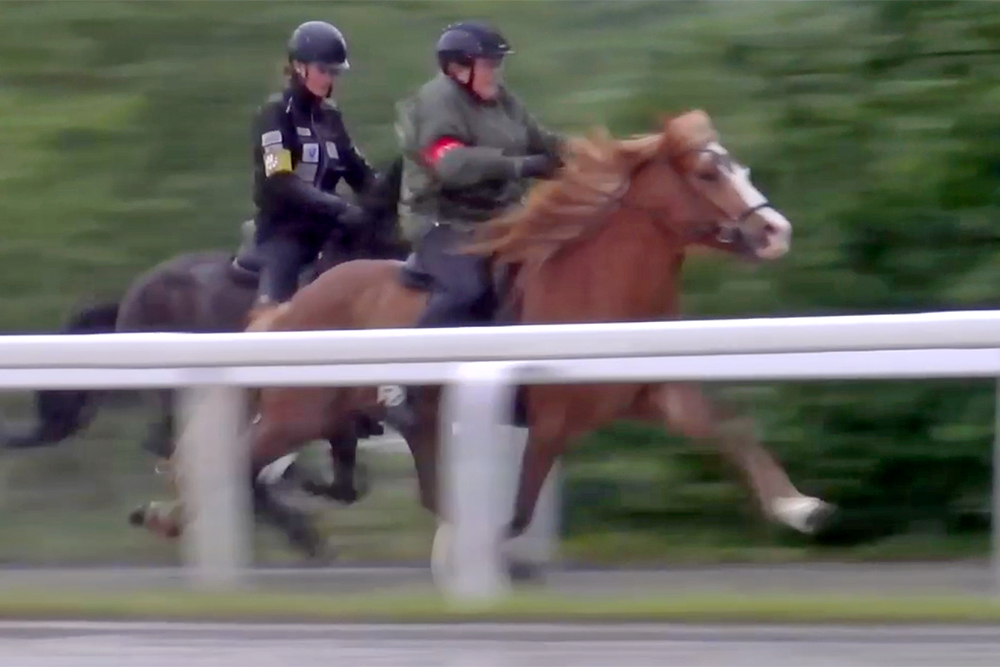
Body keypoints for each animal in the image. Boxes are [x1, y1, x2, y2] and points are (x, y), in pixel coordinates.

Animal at [150, 109, 836, 568]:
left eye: (737, 165)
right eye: (707, 171)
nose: (776, 231)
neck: (592, 288)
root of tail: (292, 307)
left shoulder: (653, 393)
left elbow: (729, 429)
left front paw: (798, 507)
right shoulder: (550, 421)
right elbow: (520, 505)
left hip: (404, 419)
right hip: (301, 412)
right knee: (235, 459)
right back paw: (173, 516)